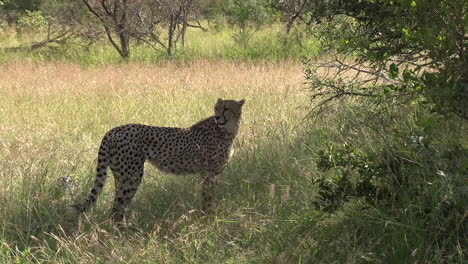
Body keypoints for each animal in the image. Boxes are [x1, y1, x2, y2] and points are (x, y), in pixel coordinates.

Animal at [72, 98, 245, 222]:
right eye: (216, 108)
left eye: (226, 108)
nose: (217, 117)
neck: (227, 130)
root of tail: (113, 130)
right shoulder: (209, 173)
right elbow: (208, 197)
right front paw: (208, 218)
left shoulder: (210, 174)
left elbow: (207, 196)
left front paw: (206, 216)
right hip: (132, 176)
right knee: (118, 207)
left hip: (120, 175)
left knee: (116, 206)